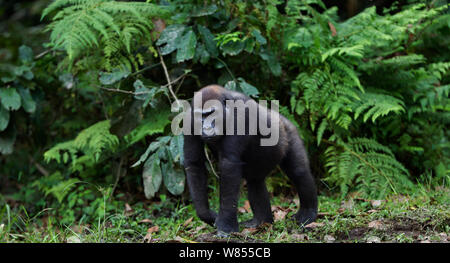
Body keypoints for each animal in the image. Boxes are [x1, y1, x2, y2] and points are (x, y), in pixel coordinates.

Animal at [182, 84, 316, 235]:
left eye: (211, 114)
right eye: (201, 116)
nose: (206, 127)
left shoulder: (241, 115)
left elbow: (229, 165)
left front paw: (226, 226)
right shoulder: (189, 119)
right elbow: (194, 163)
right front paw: (207, 215)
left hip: (289, 131)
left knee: (299, 172)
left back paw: (308, 213)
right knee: (255, 181)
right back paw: (261, 221)